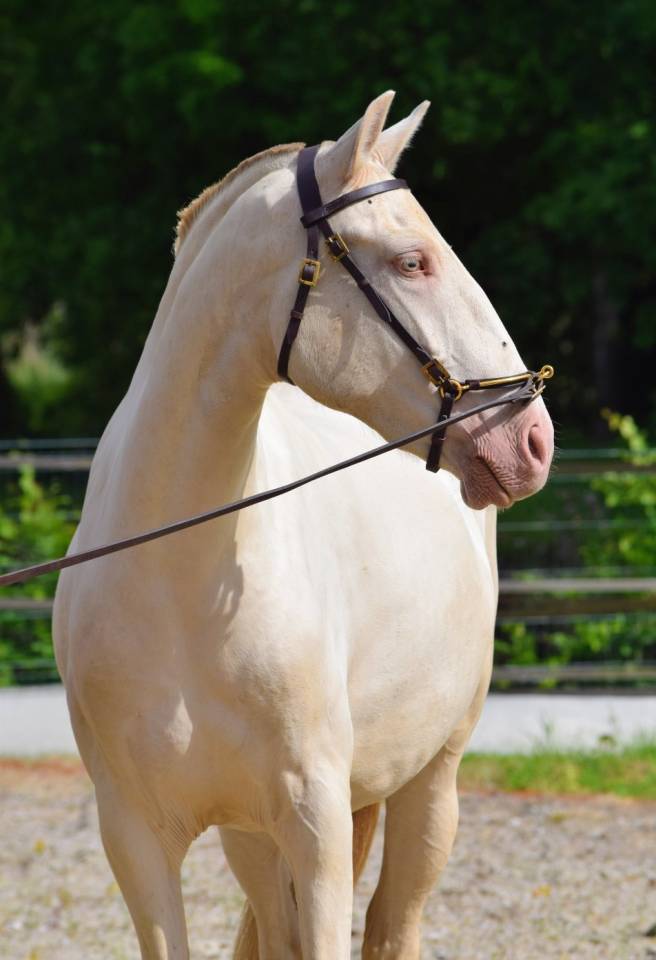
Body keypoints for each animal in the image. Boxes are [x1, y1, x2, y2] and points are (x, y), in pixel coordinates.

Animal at [53, 91, 553, 959]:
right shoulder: (138, 841)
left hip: (432, 783)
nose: (531, 439)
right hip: (251, 838)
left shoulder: (316, 825)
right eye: (412, 262)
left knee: (394, 925)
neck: (182, 581)